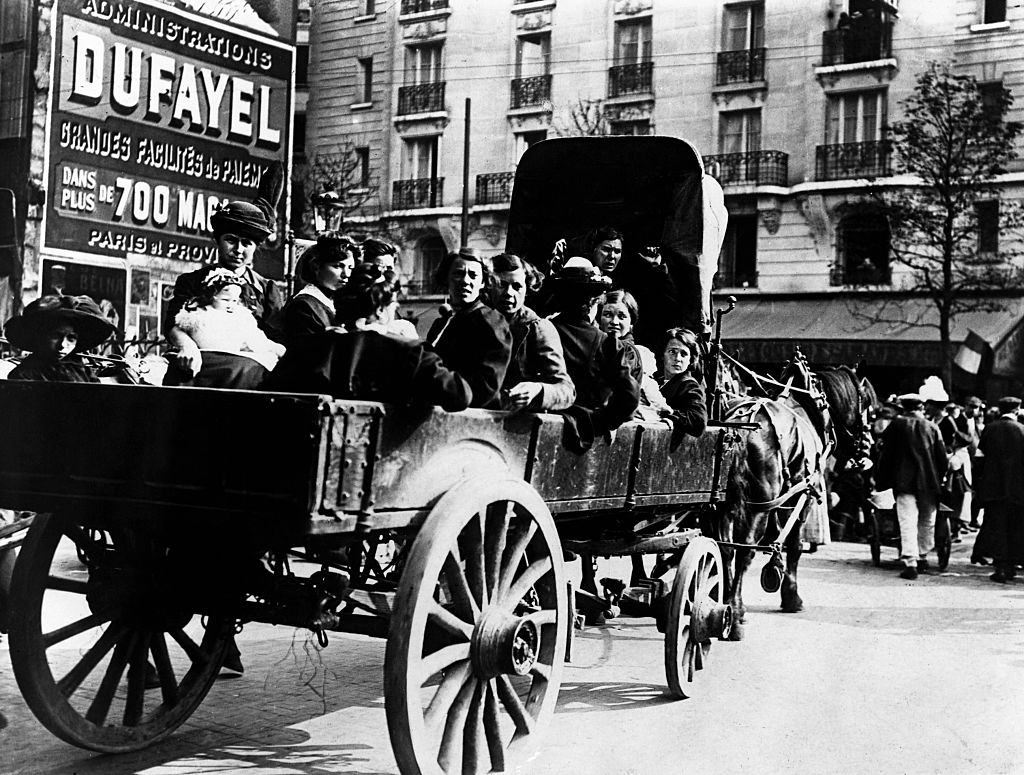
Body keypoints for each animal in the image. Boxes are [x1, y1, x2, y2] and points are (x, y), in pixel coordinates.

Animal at [716, 354, 876, 638]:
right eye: (866, 402)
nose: (868, 446)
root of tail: (741, 424)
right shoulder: (803, 497)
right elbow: (794, 544)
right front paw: (792, 597)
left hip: (725, 504)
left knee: (726, 549)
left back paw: (728, 606)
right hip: (760, 505)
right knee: (745, 551)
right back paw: (735, 616)